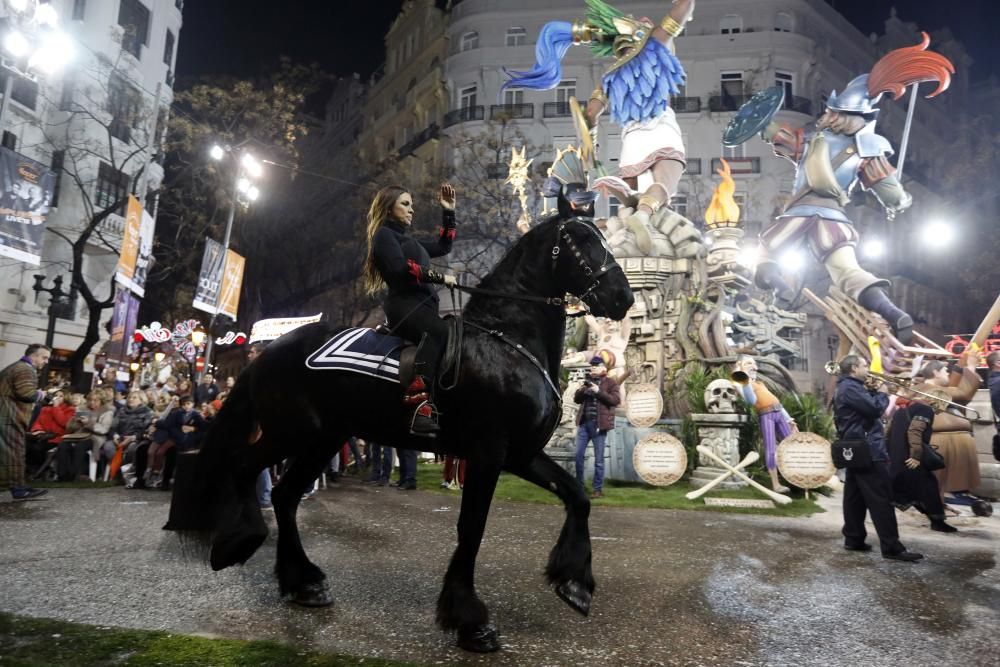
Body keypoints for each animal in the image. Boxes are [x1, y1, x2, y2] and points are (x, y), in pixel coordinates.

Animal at [164, 214, 632, 652]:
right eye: (582, 239)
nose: (623, 298)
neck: (506, 341)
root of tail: (270, 351)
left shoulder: (520, 454)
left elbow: (577, 496)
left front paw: (574, 584)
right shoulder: (489, 453)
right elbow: (472, 529)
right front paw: (470, 622)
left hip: (323, 441)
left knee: (284, 494)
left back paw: (303, 583)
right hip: (291, 433)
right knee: (244, 467)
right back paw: (240, 542)